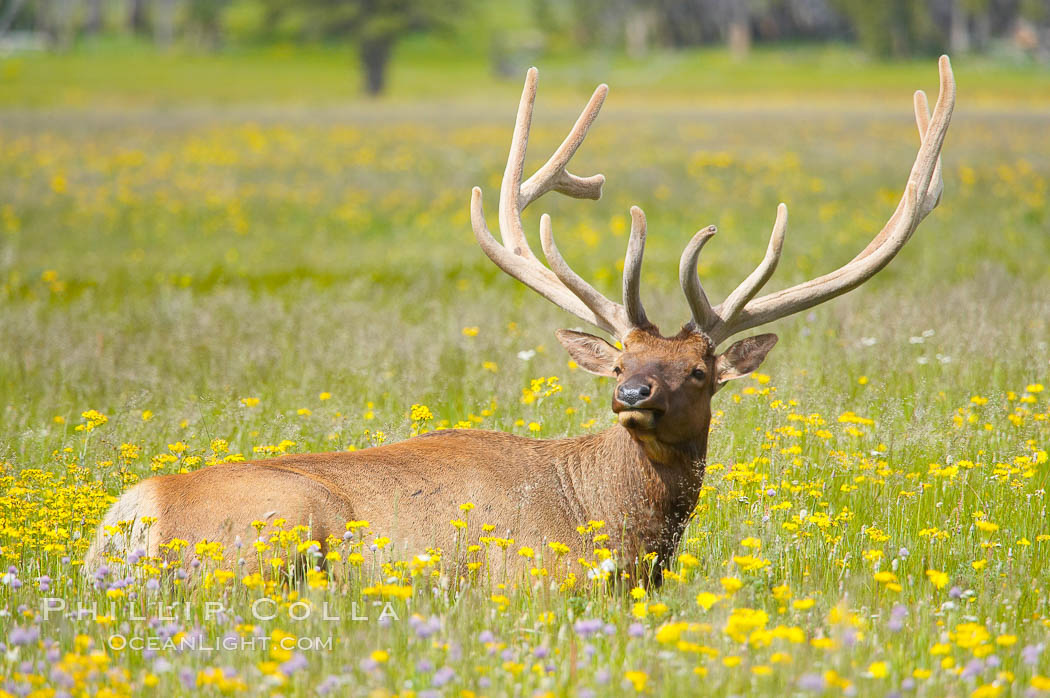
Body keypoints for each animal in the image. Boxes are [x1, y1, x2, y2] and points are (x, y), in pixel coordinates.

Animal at [88, 58, 961, 583]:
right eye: (620, 361)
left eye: (699, 371)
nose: (632, 396)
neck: (618, 531)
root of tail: (135, 519)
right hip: (279, 534)